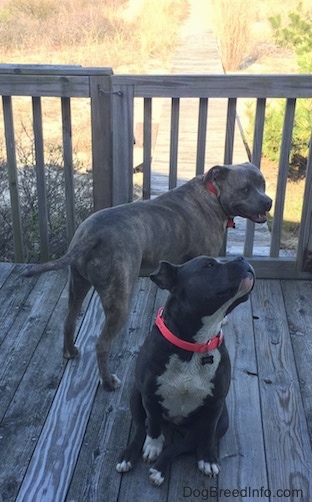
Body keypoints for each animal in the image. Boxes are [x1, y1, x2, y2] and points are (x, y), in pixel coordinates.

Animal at [23, 163, 272, 390]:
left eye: (262, 184)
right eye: (244, 189)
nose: (268, 202)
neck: (212, 194)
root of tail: (89, 236)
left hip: (77, 285)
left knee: (69, 321)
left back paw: (70, 351)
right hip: (119, 299)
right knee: (102, 345)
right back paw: (108, 381)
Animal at [116, 256, 255, 484]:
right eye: (210, 265)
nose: (242, 258)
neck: (195, 346)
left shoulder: (215, 405)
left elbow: (207, 434)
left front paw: (207, 458)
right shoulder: (149, 395)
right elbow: (153, 423)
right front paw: (153, 445)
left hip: (222, 420)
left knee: (183, 445)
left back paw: (160, 468)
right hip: (135, 394)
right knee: (140, 427)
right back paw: (128, 455)